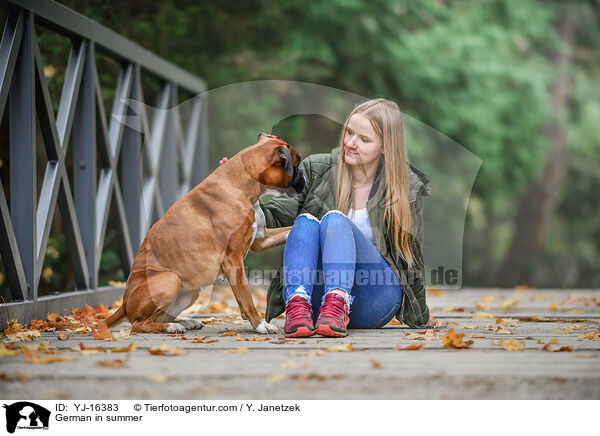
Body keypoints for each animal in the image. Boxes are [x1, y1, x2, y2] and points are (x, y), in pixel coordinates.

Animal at [103, 133, 304, 334]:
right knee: (138, 324)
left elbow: (289, 229)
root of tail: (124, 303)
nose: (303, 176)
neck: (241, 186)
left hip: (190, 291)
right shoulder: (233, 260)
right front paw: (260, 324)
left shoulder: (262, 239)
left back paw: (184, 322)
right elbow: (246, 298)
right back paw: (170, 326)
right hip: (169, 279)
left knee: (159, 316)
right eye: (296, 164)